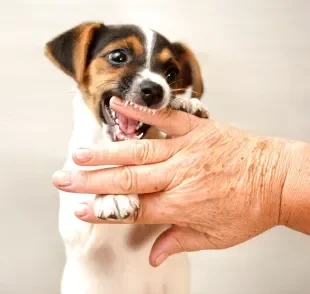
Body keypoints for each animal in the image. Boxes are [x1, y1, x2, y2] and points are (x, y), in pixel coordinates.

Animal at [44, 21, 209, 294]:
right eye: (118, 56)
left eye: (171, 73)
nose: (154, 90)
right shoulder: (75, 228)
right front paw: (113, 195)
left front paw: (187, 105)